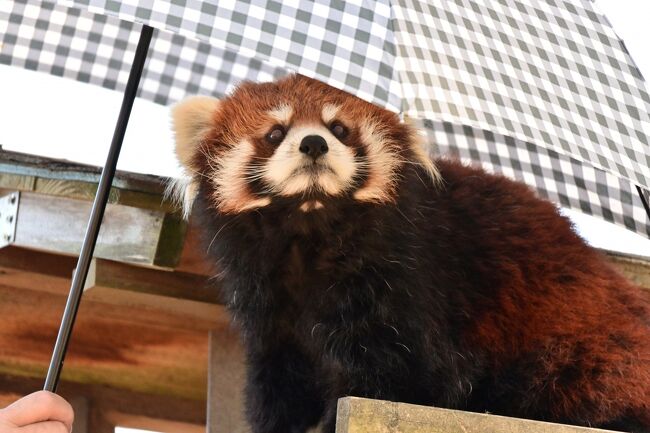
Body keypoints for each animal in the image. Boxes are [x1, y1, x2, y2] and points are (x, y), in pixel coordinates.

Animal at [170, 75, 644, 432]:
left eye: (339, 129)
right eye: (275, 133)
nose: (313, 144)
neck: (310, 233)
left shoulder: (408, 279)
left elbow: (399, 379)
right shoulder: (271, 309)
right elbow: (279, 382)